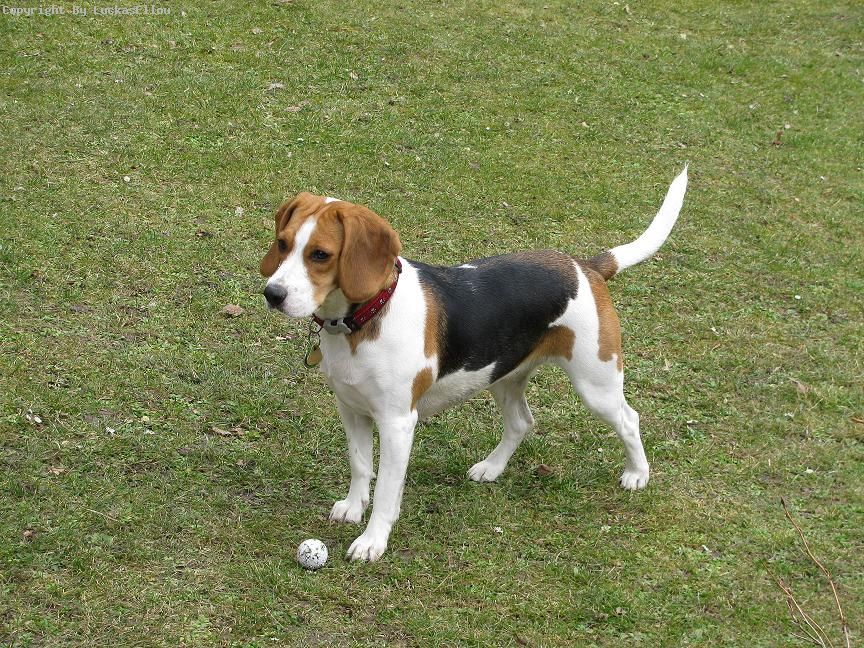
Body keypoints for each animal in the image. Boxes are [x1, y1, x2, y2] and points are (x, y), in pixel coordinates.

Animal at [260, 168, 688, 561]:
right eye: (282, 244)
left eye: (320, 255)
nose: (272, 294)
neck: (364, 318)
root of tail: (586, 266)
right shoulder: (351, 408)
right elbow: (361, 465)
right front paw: (352, 507)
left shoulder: (397, 423)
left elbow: (385, 490)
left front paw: (372, 541)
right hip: (504, 376)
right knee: (521, 422)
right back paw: (492, 468)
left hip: (596, 383)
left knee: (628, 419)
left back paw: (637, 474)